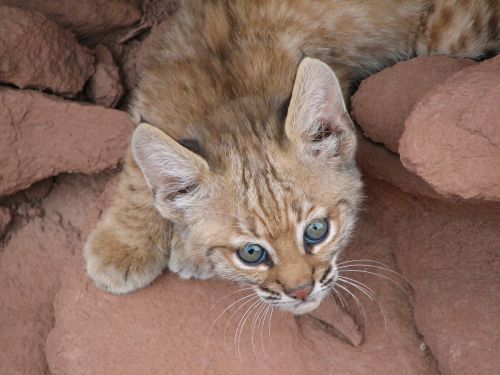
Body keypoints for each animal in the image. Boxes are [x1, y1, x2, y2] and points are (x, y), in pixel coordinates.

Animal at [85, 1, 496, 316]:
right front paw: (124, 245)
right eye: (251, 253)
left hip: (451, 33)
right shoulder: (153, 93)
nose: (300, 292)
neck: (229, 94)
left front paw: (183, 251)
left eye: (316, 230)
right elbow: (138, 163)